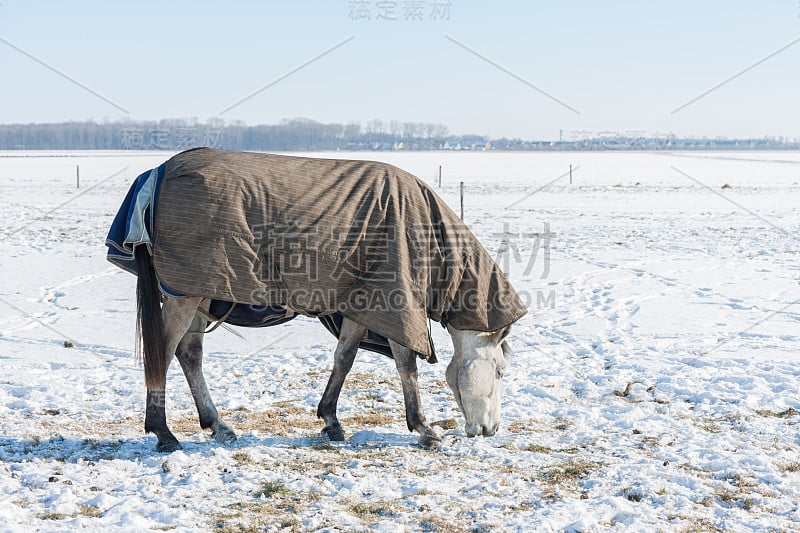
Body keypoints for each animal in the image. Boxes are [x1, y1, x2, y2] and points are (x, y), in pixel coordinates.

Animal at [108, 147, 532, 448]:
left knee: (189, 354)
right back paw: (163, 432)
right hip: (187, 293)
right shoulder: (395, 298)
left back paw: (217, 425)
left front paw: (331, 420)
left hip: (200, 291)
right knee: (164, 352)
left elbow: (345, 358)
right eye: (499, 371)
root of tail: (156, 174)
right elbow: (406, 363)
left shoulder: (361, 304)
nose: (491, 429)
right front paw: (424, 428)